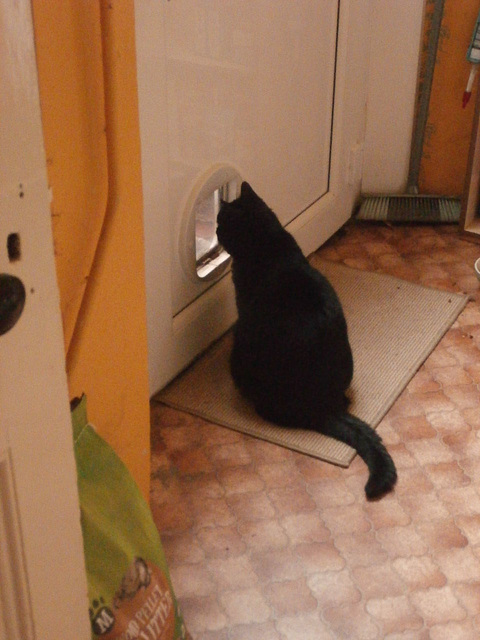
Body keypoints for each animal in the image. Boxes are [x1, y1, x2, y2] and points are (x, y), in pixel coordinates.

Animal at [218, 181, 398, 500]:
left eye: (219, 222)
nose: (214, 231)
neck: (267, 242)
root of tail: (322, 408)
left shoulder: (243, 310)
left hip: (242, 352)